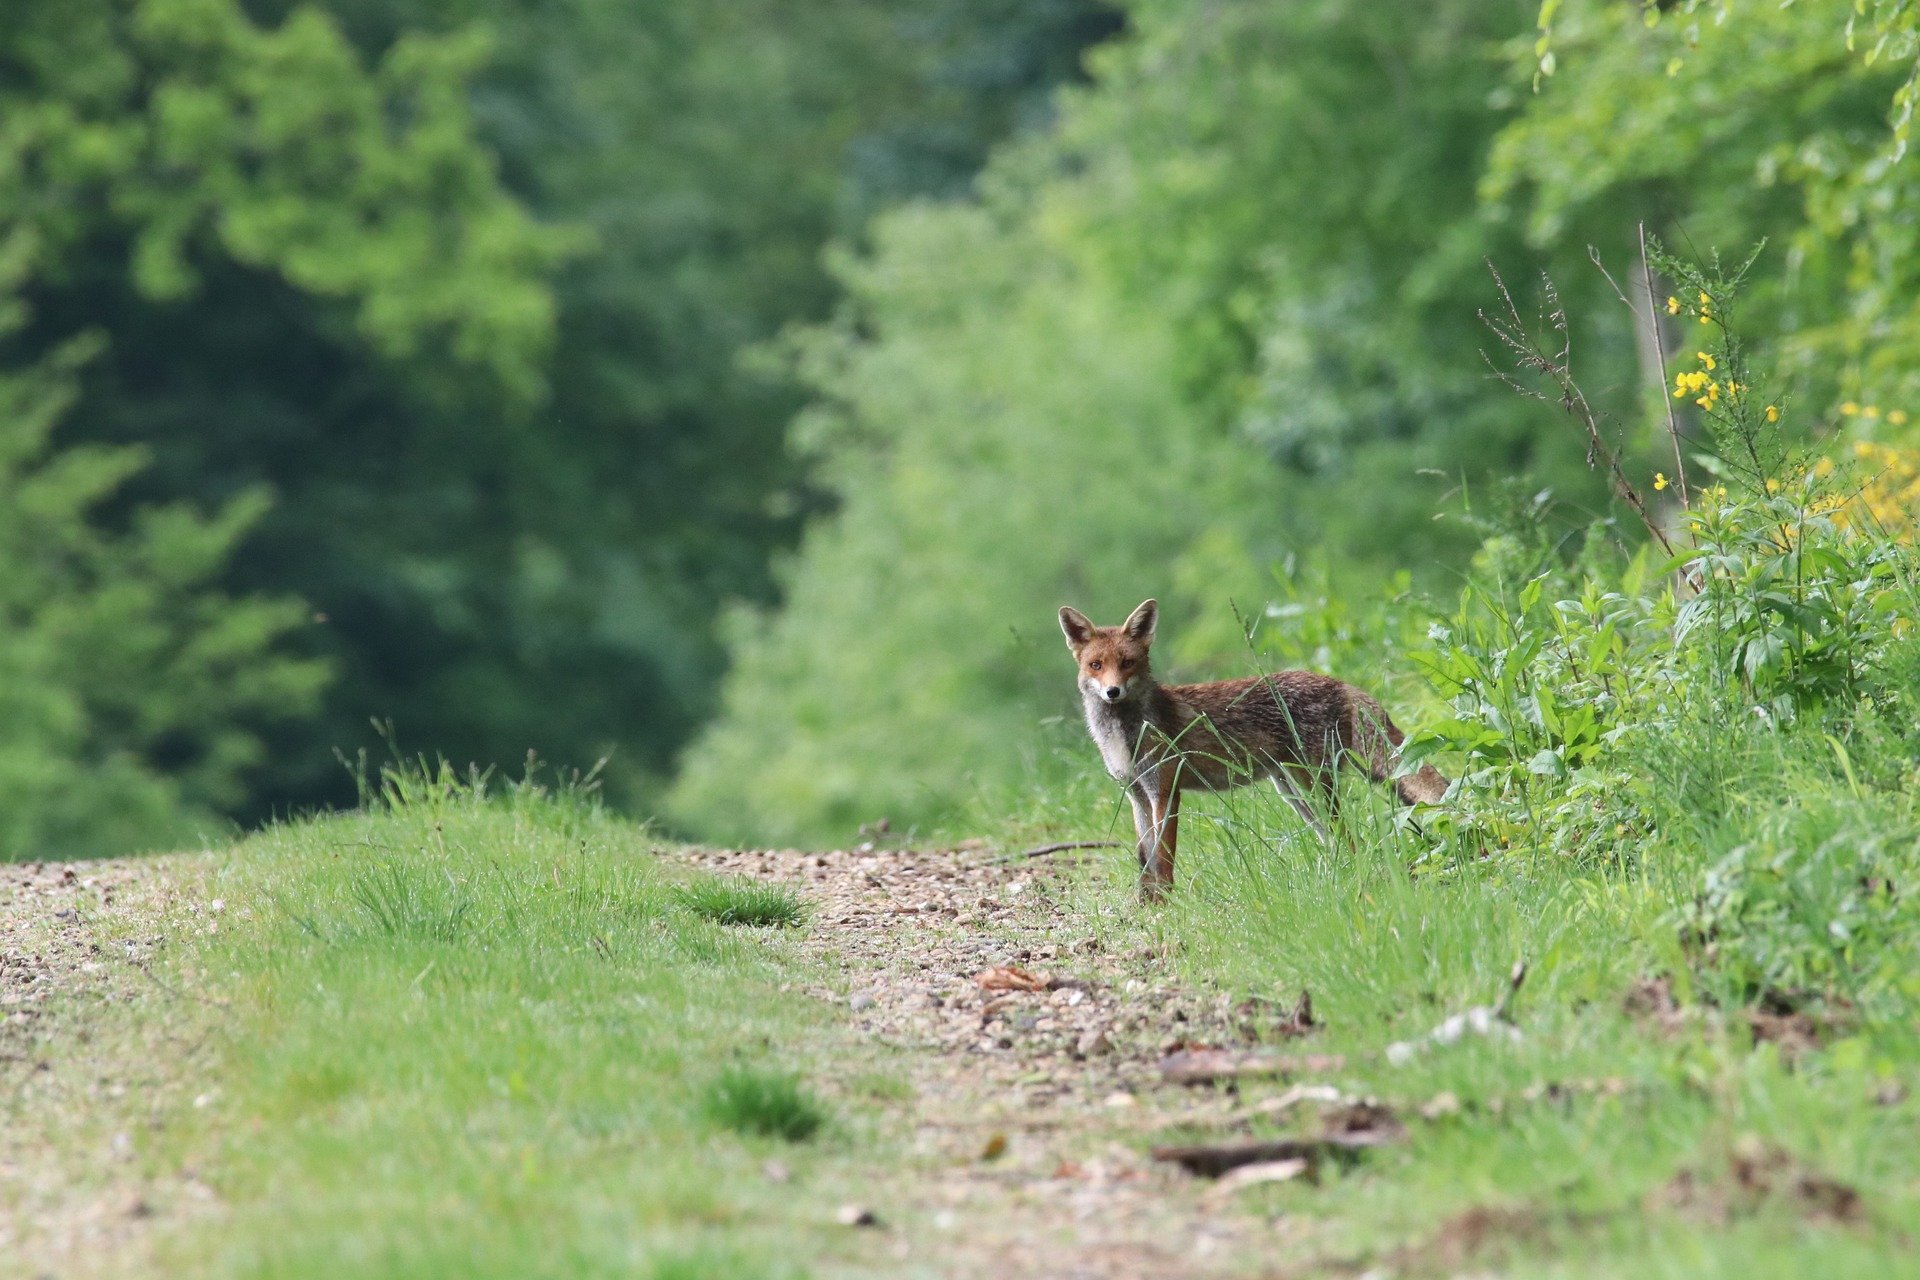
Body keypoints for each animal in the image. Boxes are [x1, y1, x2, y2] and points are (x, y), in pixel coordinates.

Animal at [1059, 594, 1443, 898]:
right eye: (1096, 665)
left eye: (1127, 663)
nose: (1112, 692)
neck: (1124, 736)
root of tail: (1338, 682)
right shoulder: (1137, 794)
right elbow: (1145, 862)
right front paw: (1145, 906)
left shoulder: (1166, 791)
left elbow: (1164, 862)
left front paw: (1168, 908)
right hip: (1293, 792)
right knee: (1337, 840)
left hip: (1312, 786)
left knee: (1349, 837)